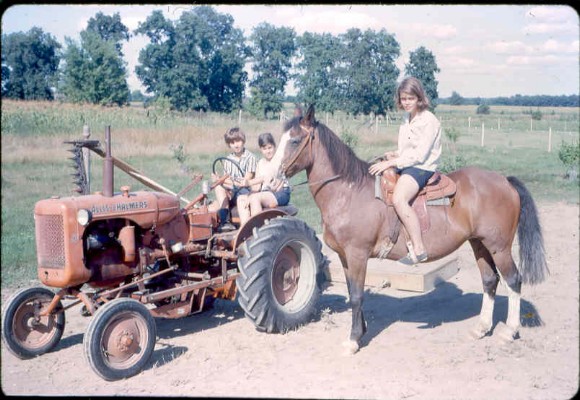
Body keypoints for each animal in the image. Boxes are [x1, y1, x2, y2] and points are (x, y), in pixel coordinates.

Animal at [280, 104, 548, 354]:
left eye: (295, 140)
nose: (275, 175)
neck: (349, 192)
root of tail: (504, 181)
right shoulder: (345, 257)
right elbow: (353, 292)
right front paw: (361, 331)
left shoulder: (357, 255)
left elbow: (356, 295)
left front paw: (354, 340)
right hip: (479, 244)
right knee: (490, 280)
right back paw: (481, 329)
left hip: (499, 247)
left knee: (513, 280)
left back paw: (509, 332)